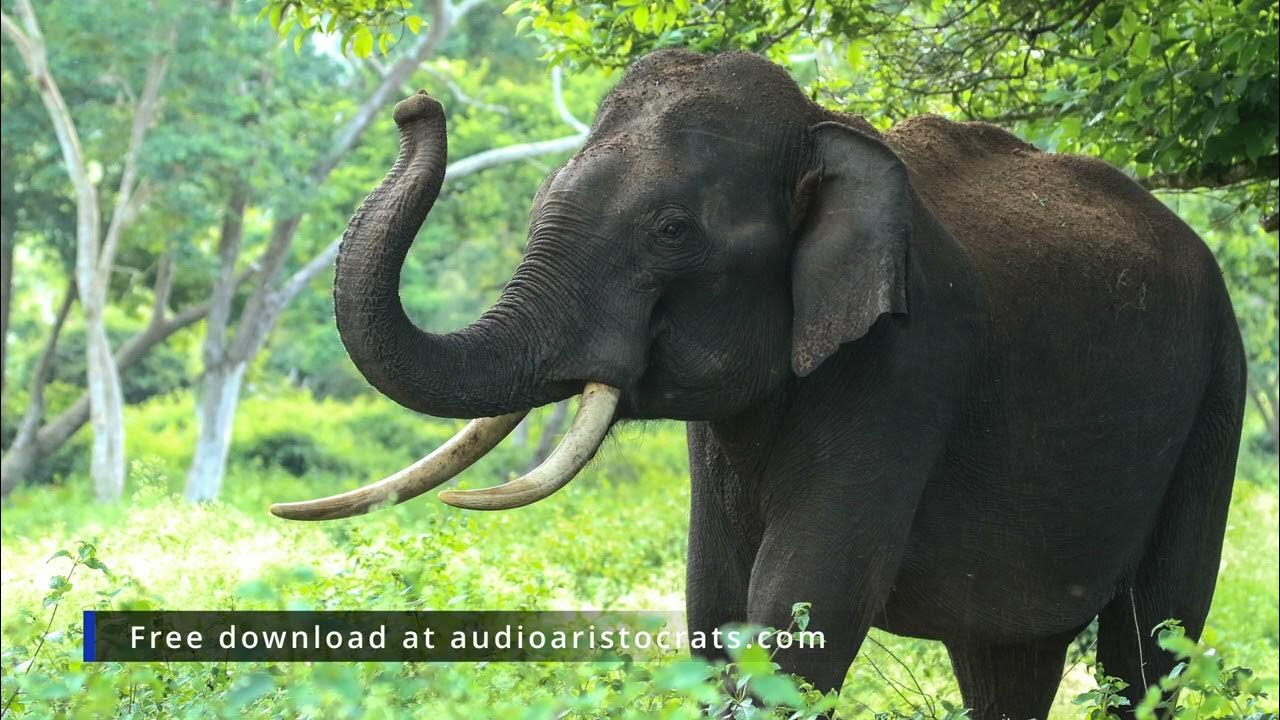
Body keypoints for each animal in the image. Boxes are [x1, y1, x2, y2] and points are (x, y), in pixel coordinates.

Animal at [272, 50, 1246, 719]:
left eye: (670, 231)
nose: (416, 103)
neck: (825, 125)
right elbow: (716, 608)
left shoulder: (908, 363)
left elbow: (803, 608)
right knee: (1006, 660)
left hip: (1218, 394)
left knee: (1150, 643)